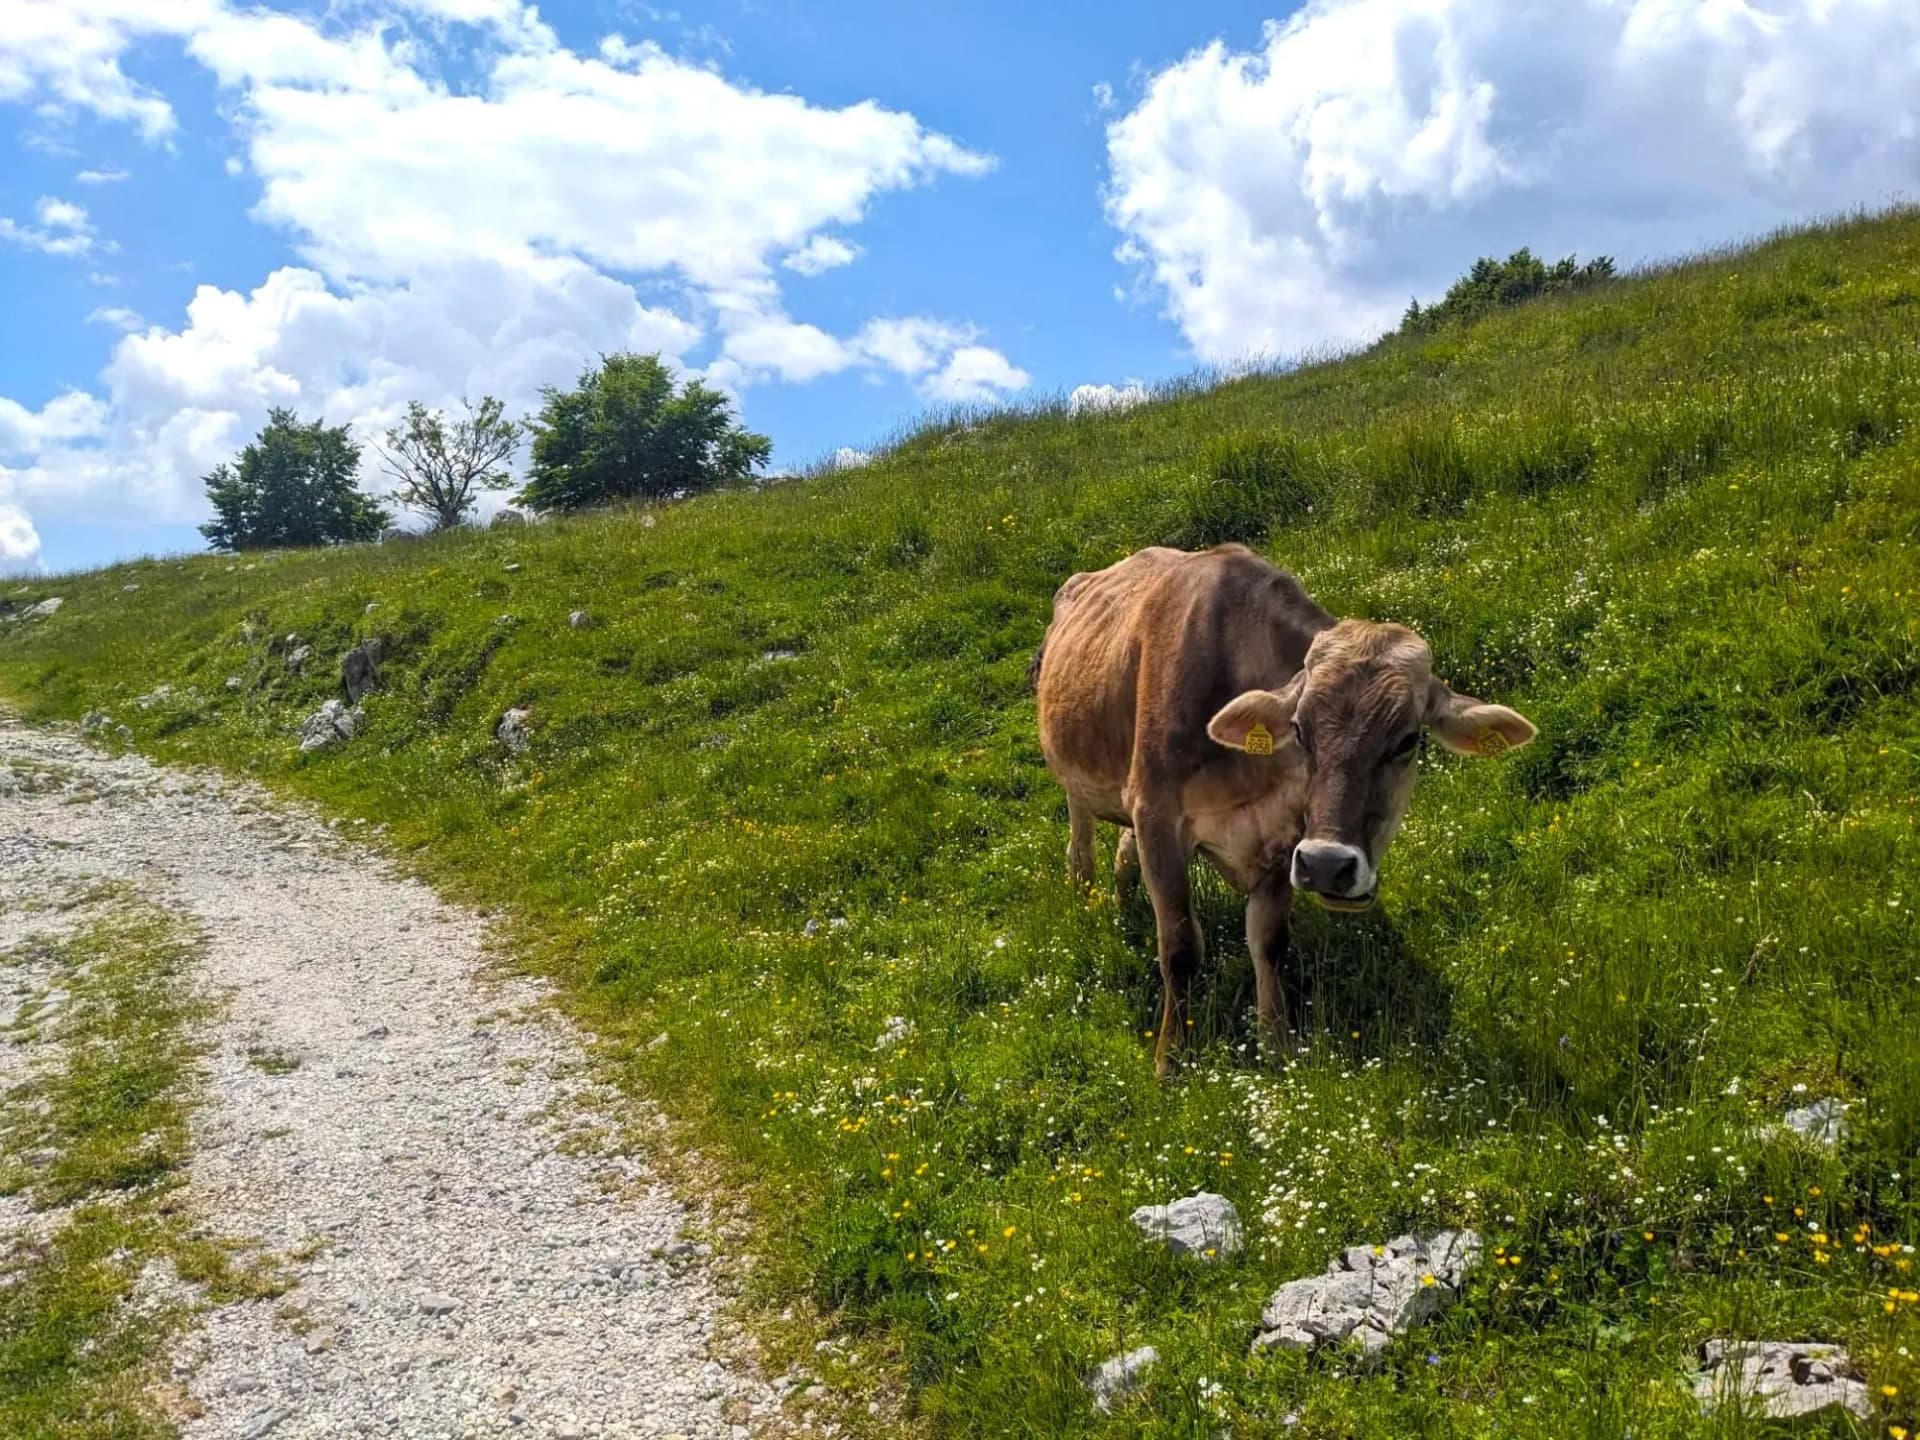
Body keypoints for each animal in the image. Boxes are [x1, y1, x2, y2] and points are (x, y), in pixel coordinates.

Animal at [1033, 544, 1535, 1076]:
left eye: (1407, 741)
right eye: (1299, 729)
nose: (1329, 866)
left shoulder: (1283, 837)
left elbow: (1270, 942)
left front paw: (1276, 1046)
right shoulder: (1157, 818)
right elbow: (1180, 948)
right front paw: (1172, 1060)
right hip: (1072, 771)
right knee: (1080, 839)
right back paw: (1084, 891)